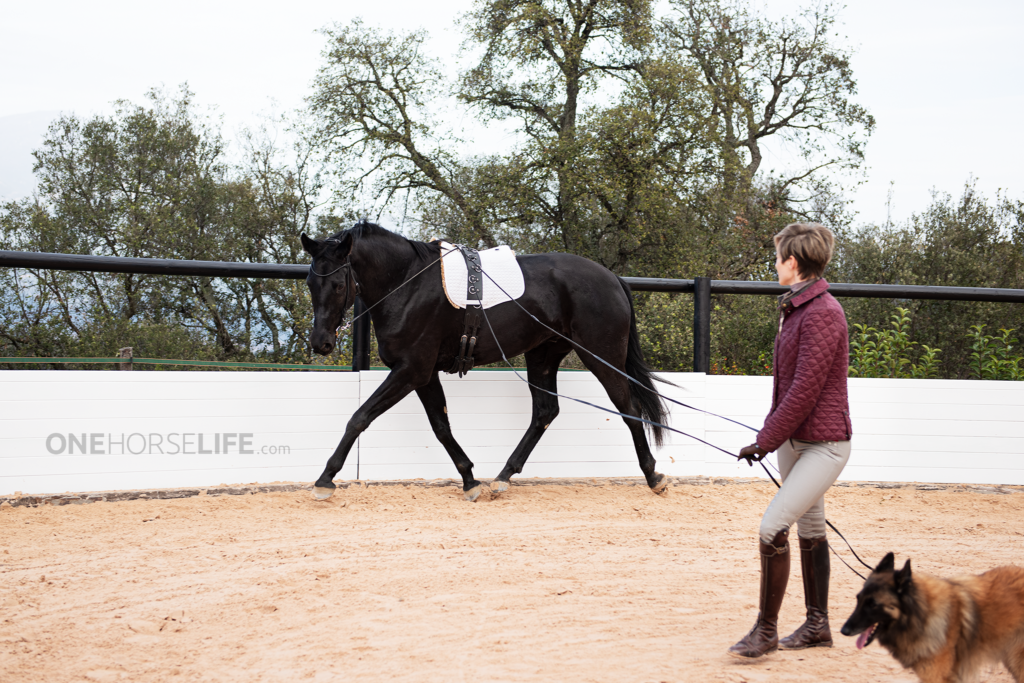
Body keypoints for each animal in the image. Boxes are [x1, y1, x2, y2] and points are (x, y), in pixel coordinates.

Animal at [301, 220, 670, 502]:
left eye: (337, 285)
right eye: (310, 282)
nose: (321, 343)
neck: (407, 283)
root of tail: (612, 279)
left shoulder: (411, 370)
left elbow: (359, 418)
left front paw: (325, 480)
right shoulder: (424, 375)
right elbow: (441, 427)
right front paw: (470, 480)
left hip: (603, 357)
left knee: (629, 409)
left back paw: (653, 476)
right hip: (543, 356)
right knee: (545, 412)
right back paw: (503, 476)